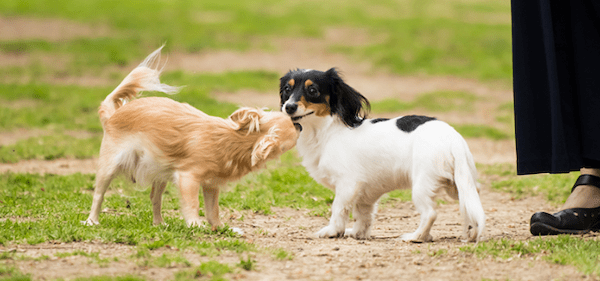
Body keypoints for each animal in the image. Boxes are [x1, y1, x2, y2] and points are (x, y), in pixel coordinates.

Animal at [83, 47, 298, 231]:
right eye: (292, 128)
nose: (299, 125)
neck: (233, 138)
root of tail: (113, 114)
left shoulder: (211, 185)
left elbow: (213, 210)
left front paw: (219, 227)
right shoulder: (188, 177)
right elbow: (192, 204)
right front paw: (195, 224)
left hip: (160, 173)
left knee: (155, 198)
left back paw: (159, 223)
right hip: (109, 166)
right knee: (98, 195)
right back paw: (92, 221)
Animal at [278, 67, 486, 241]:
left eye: (312, 90)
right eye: (287, 90)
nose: (288, 107)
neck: (326, 132)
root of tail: (452, 137)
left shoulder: (348, 185)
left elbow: (338, 209)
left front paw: (333, 231)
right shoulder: (365, 194)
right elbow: (363, 215)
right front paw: (358, 233)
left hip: (422, 185)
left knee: (430, 213)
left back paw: (417, 237)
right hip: (458, 185)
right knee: (470, 207)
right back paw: (467, 233)